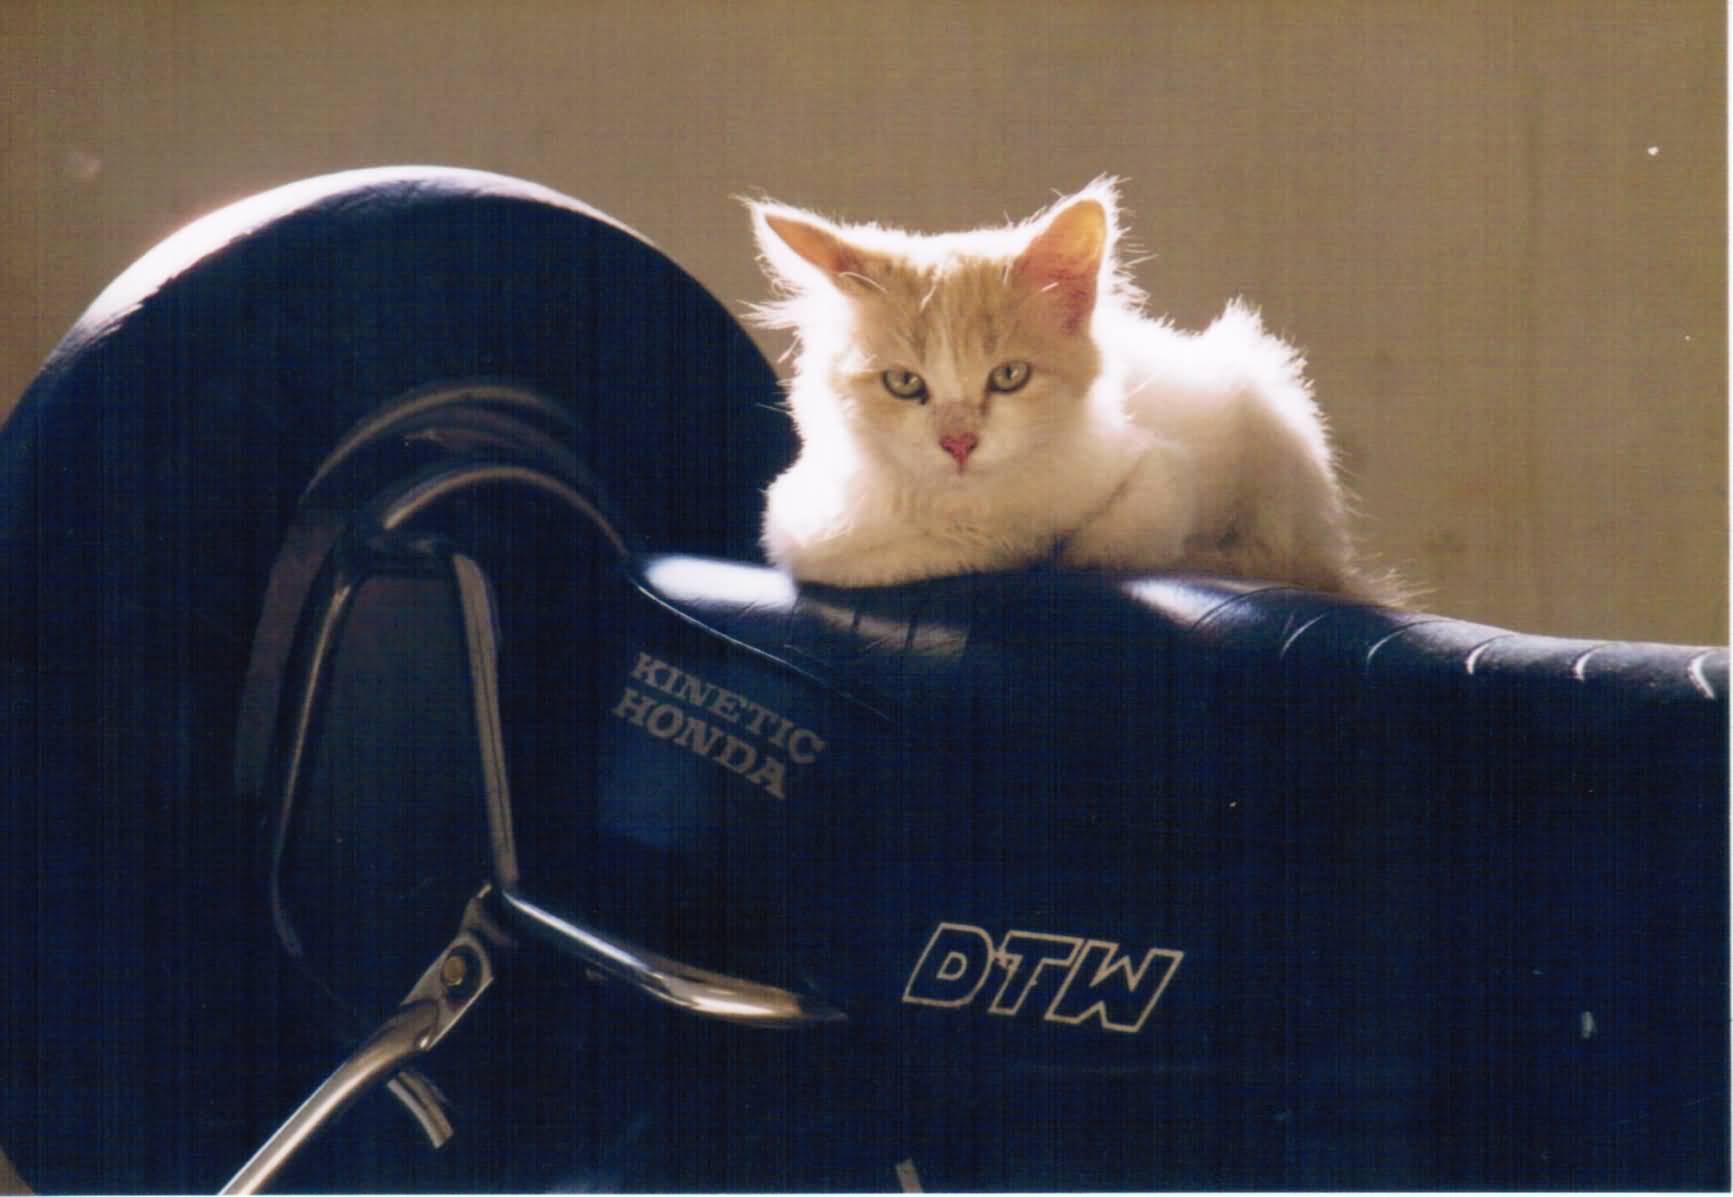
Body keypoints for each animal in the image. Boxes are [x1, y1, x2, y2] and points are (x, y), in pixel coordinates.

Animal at [746, 179, 1402, 604]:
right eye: (904, 383)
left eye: (1009, 376)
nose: (959, 443)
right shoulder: (803, 528)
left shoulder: (1160, 468)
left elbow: (1107, 543)